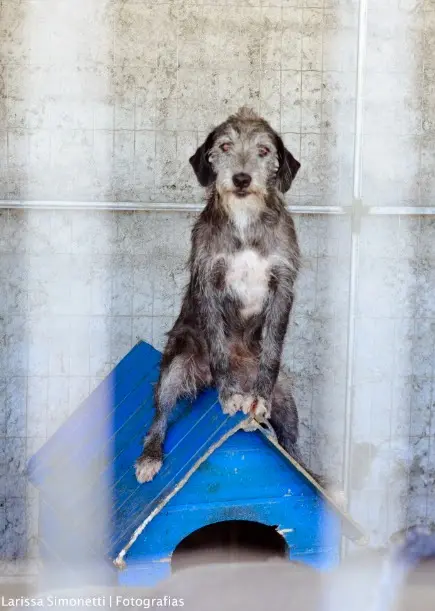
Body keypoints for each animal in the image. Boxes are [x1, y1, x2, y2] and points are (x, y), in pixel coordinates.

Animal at [135, 107, 303, 484]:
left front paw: (258, 399)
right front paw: (228, 395)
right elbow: (218, 346)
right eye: (225, 146)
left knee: (291, 443)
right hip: (177, 364)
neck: (244, 220)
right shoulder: (209, 282)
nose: (241, 179)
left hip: (286, 396)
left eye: (264, 150)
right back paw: (150, 456)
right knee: (159, 413)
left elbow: (273, 349)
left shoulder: (283, 283)